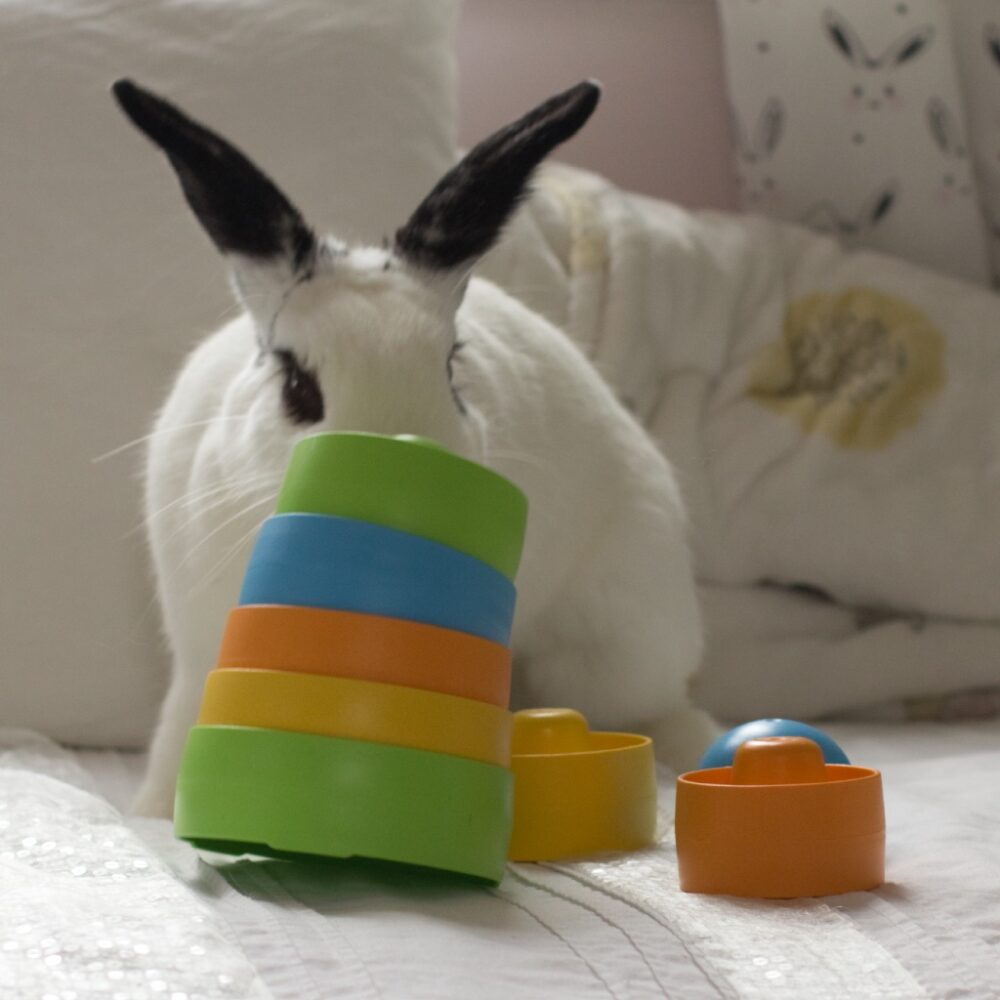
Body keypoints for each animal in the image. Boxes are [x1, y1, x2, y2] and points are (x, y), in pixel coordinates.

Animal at [112, 79, 715, 818]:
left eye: (452, 369)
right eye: (297, 386)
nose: (400, 481)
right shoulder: (203, 649)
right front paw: (153, 812)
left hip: (612, 645)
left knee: (654, 709)